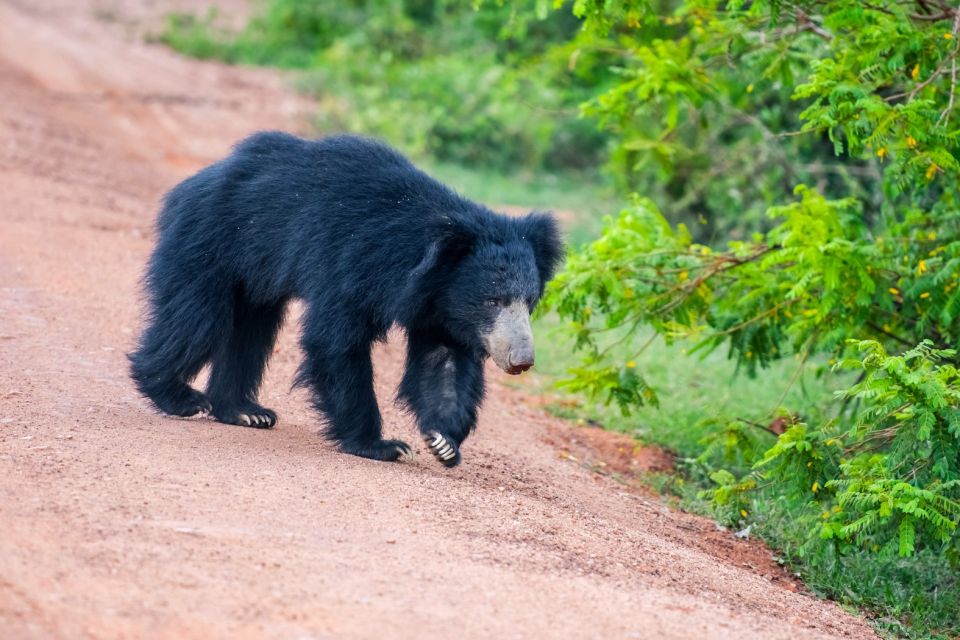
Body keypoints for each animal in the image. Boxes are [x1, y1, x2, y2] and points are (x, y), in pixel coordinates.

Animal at [127, 132, 564, 468]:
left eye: (528, 301)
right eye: (493, 300)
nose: (522, 360)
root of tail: (194, 182)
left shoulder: (440, 305)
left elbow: (443, 364)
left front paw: (443, 441)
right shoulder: (348, 263)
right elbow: (335, 342)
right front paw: (382, 445)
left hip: (253, 273)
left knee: (251, 333)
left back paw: (245, 411)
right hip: (211, 242)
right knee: (198, 320)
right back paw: (178, 396)